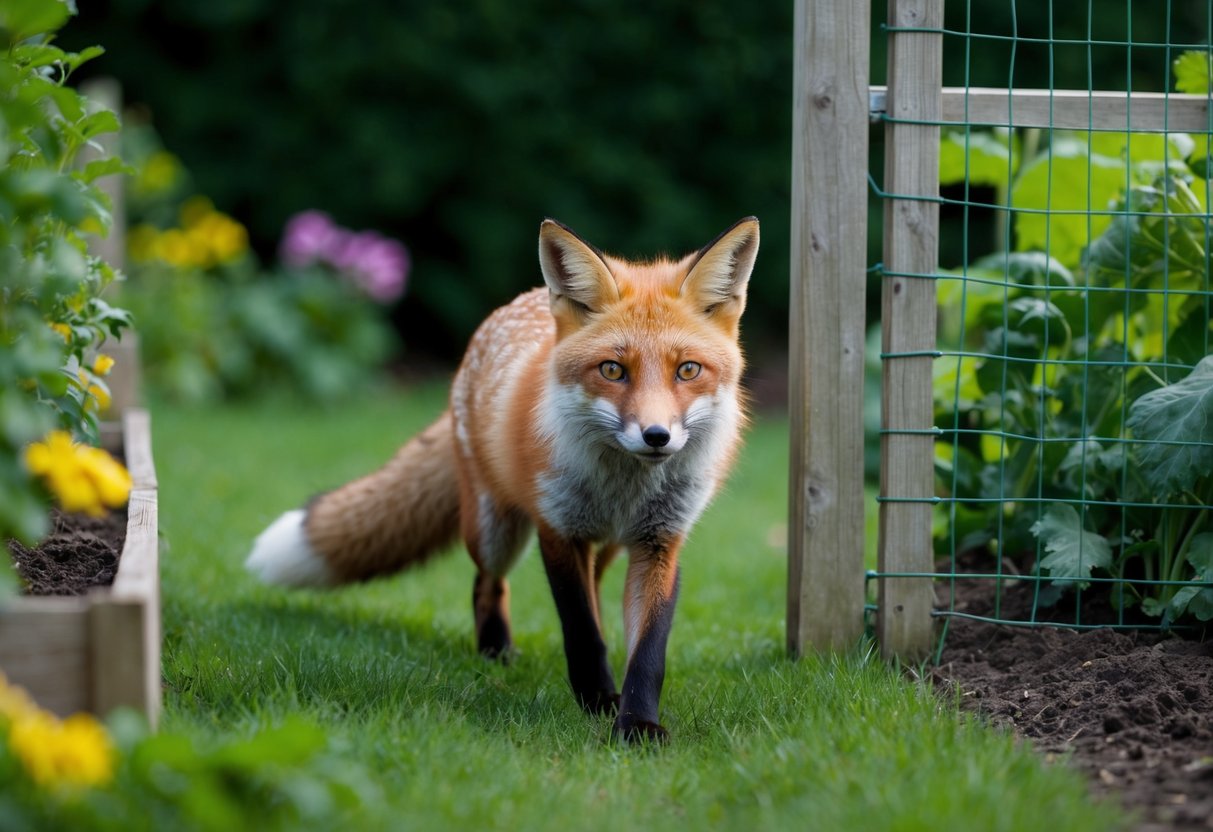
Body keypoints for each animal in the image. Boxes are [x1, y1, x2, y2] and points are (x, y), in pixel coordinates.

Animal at [246, 216, 759, 742]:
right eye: (613, 370)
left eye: (688, 370)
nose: (657, 436)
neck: (622, 488)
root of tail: (510, 307)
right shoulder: (558, 529)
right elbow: (581, 630)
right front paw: (597, 701)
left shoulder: (660, 541)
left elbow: (649, 652)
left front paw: (636, 723)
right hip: (496, 531)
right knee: (486, 582)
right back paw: (495, 653)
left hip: (610, 545)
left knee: (590, 586)